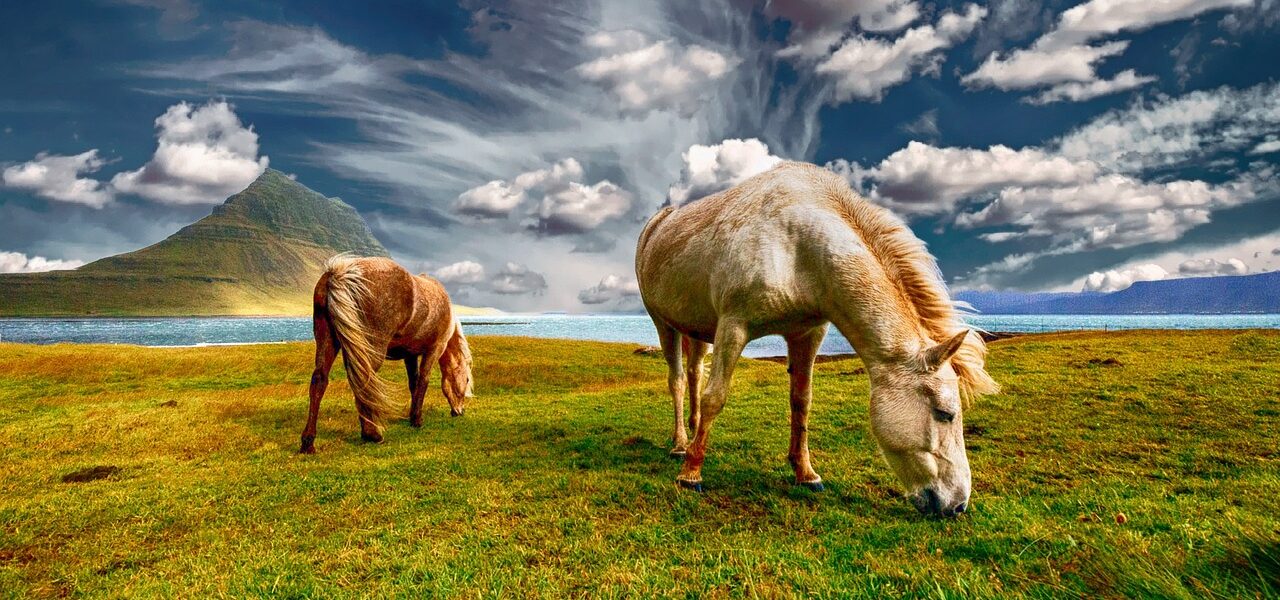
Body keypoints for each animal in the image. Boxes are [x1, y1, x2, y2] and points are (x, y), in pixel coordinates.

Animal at [300, 255, 474, 454]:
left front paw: (411, 416)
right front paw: (417, 420)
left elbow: (413, 384)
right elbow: (423, 381)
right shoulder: (434, 349)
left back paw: (308, 442)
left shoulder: (410, 355)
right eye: (466, 379)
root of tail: (341, 273)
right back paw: (372, 434)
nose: (460, 411)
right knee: (364, 381)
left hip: (327, 341)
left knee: (319, 380)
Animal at [635, 161, 998, 517]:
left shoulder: (807, 333)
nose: (958, 505)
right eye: (945, 414)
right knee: (679, 381)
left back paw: (693, 433)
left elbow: (801, 402)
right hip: (664, 324)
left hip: (697, 330)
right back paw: (681, 445)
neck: (797, 246)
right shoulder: (733, 327)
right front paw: (691, 474)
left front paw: (805, 473)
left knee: (695, 373)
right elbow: (716, 397)